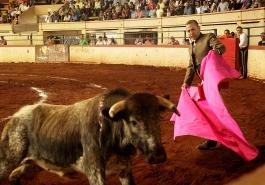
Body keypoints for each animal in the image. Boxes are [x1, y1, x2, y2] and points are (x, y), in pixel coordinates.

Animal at [0, 88, 178, 185]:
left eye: (158, 119)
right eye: (133, 121)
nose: (158, 156)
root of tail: (15, 117)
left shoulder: (125, 170)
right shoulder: (95, 172)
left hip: (33, 163)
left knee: (14, 176)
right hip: (7, 160)